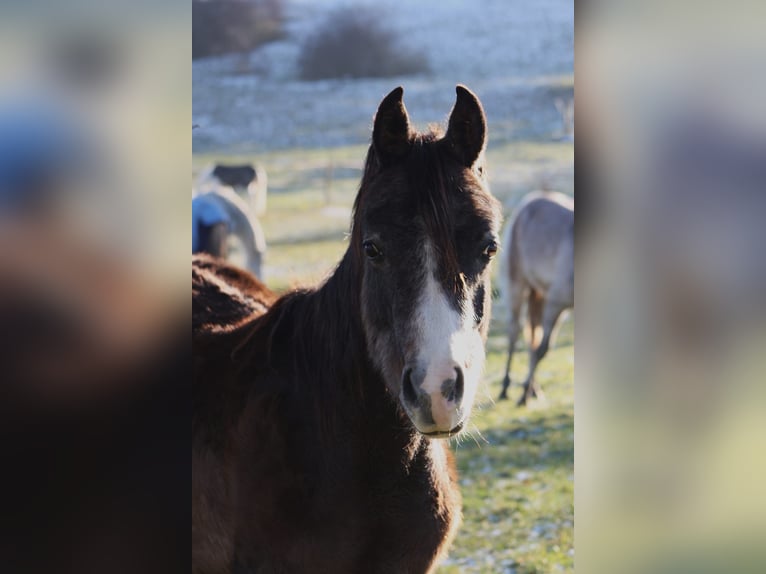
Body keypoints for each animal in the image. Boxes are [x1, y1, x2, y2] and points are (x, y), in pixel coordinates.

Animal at [500, 191, 572, 408]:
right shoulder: (557, 302)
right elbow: (543, 350)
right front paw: (523, 395)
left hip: (538, 294)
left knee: (532, 335)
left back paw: (534, 389)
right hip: (518, 285)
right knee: (515, 332)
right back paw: (506, 387)